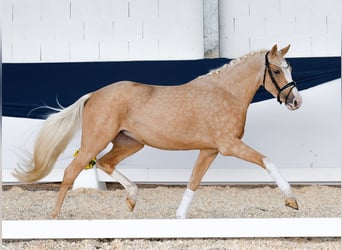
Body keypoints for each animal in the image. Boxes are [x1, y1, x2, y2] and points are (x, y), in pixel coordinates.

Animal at [14, 44, 302, 219]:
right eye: (276, 70)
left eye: (290, 68)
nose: (296, 101)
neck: (225, 92)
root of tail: (93, 94)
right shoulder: (229, 145)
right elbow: (267, 160)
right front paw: (291, 200)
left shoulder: (209, 150)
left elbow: (193, 181)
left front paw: (179, 216)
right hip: (94, 142)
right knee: (71, 171)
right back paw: (54, 217)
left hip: (129, 143)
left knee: (106, 163)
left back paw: (131, 198)